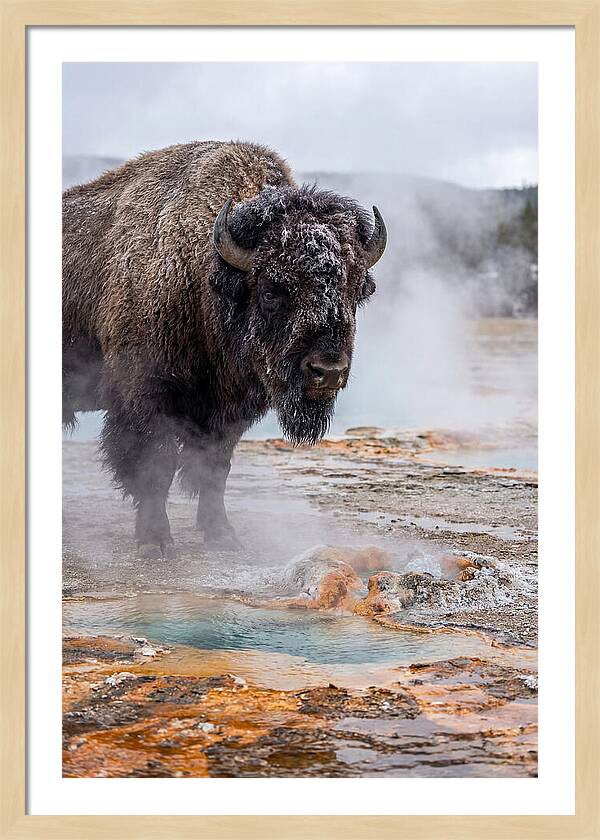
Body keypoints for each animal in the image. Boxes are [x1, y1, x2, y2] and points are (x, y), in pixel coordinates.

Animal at [63, 141, 386, 556]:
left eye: (355, 291)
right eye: (271, 291)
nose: (327, 371)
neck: (204, 275)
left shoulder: (227, 414)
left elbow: (215, 471)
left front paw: (223, 536)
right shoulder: (144, 400)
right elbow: (155, 467)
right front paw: (155, 542)